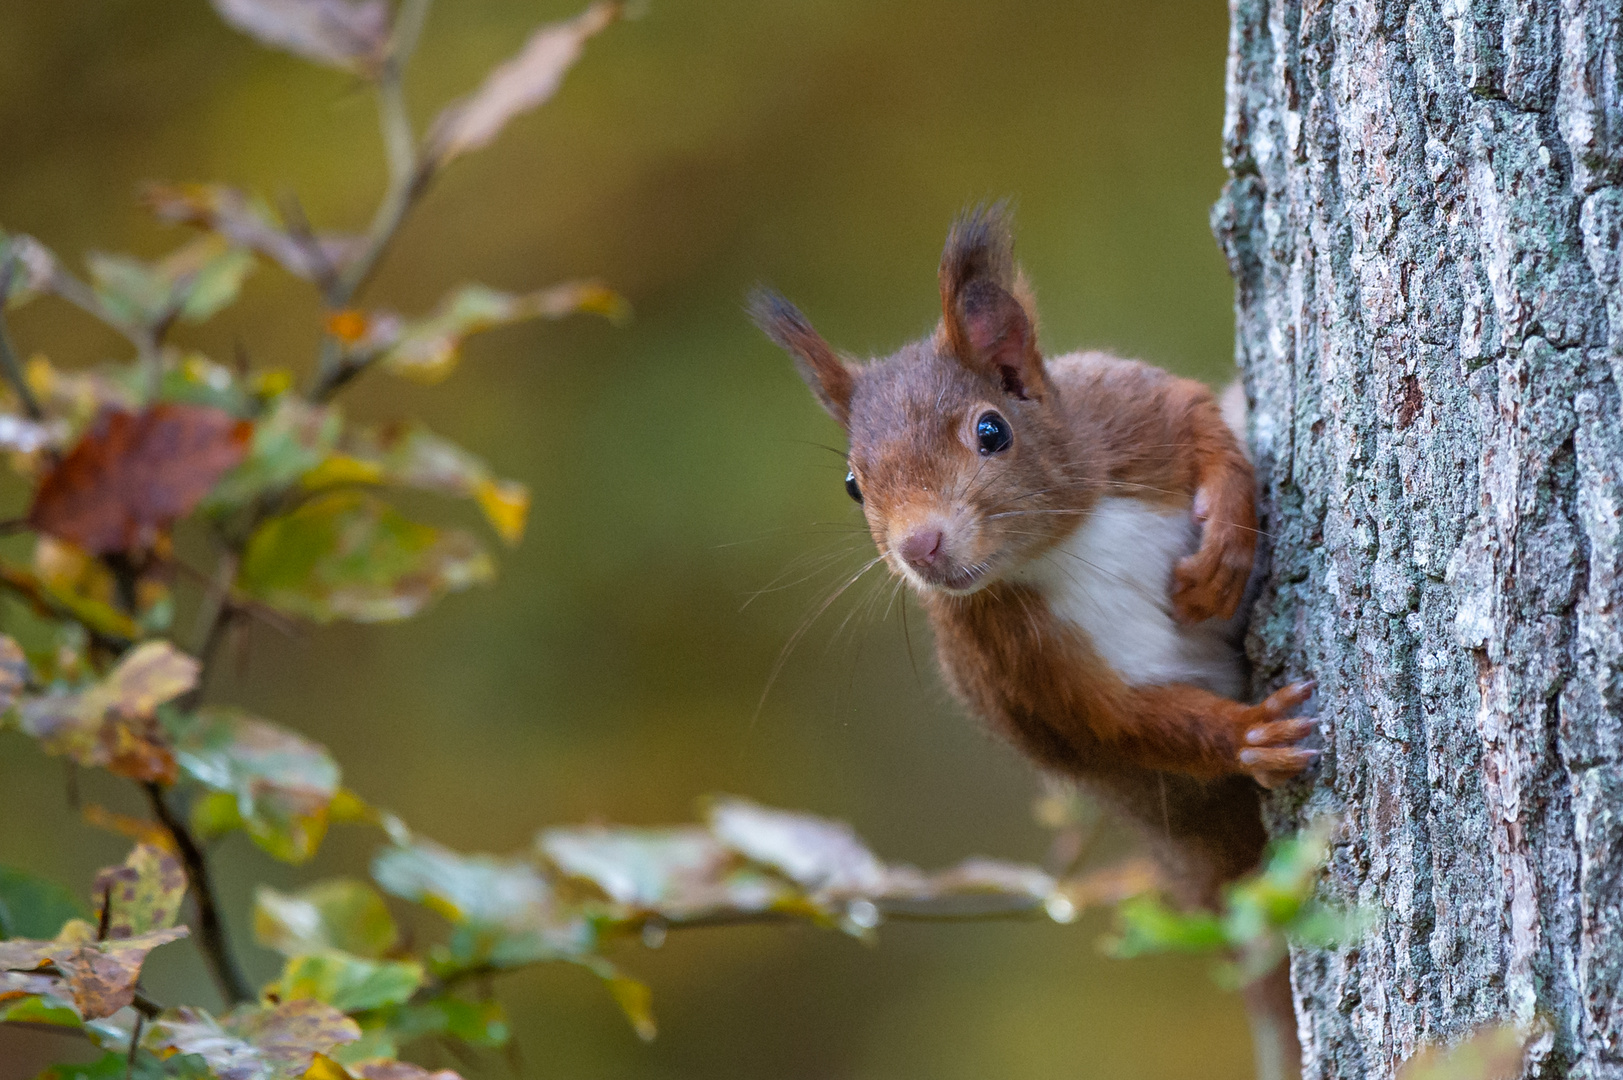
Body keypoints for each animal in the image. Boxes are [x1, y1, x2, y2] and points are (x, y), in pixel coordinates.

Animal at [753, 207, 1311, 1071]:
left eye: (992, 430)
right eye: (852, 485)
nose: (920, 548)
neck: (1061, 541)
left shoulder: (1125, 408)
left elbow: (1200, 418)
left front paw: (1222, 546)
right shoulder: (1020, 660)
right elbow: (1121, 719)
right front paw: (1250, 734)